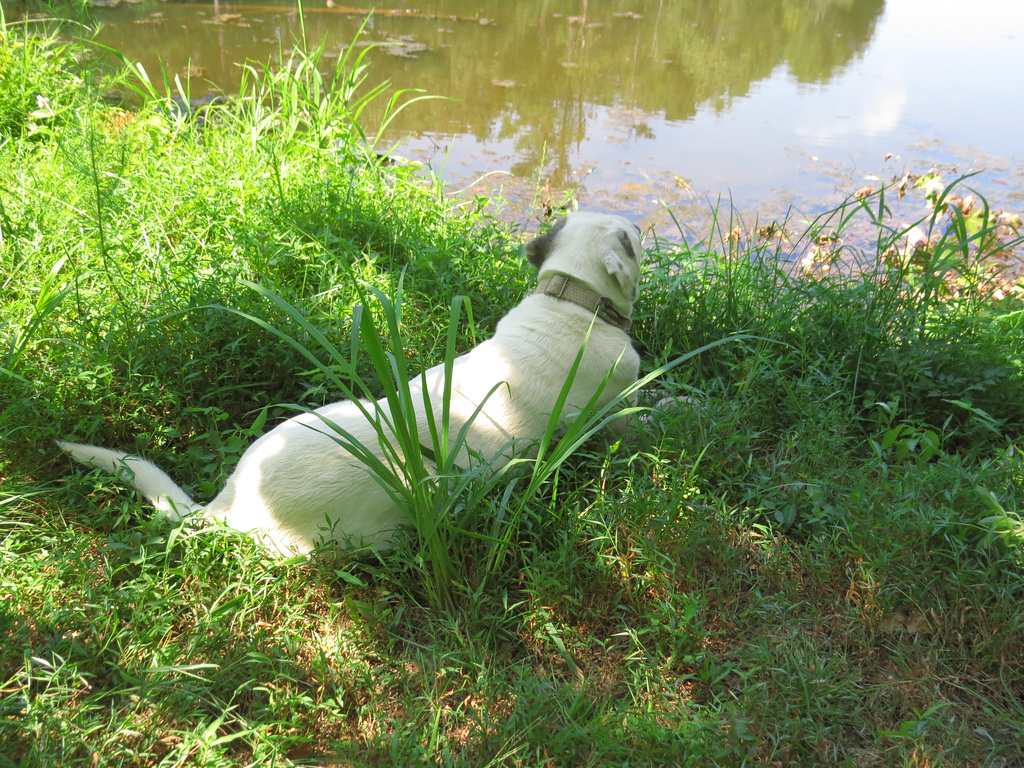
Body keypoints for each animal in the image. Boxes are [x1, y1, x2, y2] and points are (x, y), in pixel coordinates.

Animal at [56, 214, 643, 557]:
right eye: (633, 234)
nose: (644, 223)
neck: (571, 300)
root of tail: (229, 505)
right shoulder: (619, 405)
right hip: (386, 522)